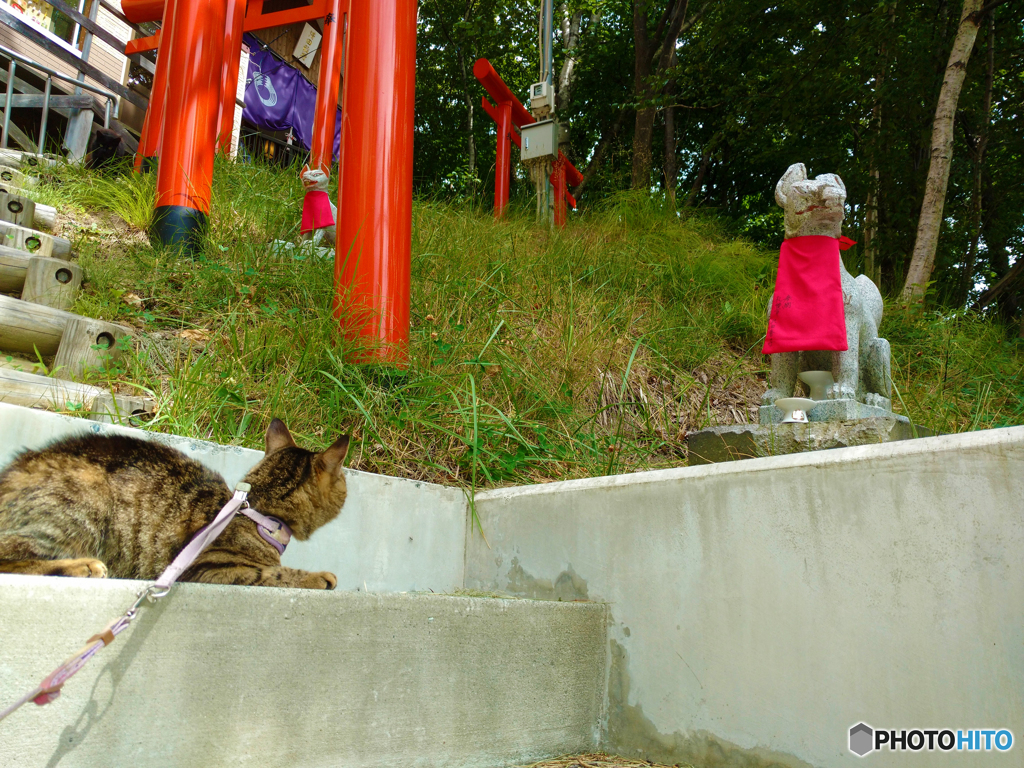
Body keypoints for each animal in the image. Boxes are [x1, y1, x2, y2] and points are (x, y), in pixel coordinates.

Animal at [0, 421, 348, 589]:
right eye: (344, 478)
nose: (347, 486)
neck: (258, 511)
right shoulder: (208, 568)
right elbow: (272, 574)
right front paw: (318, 577)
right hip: (83, 499)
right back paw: (83, 566)